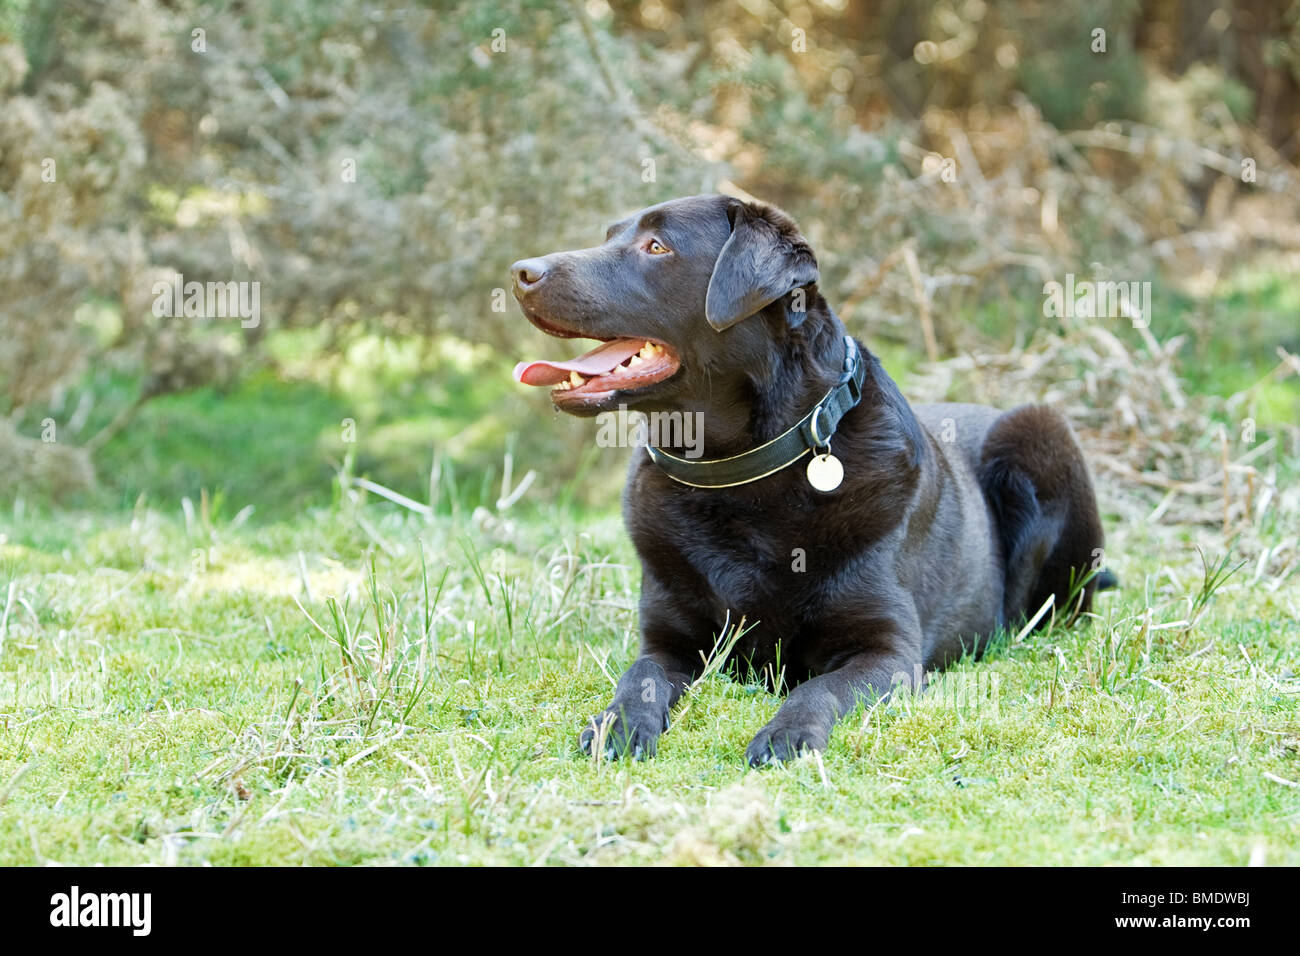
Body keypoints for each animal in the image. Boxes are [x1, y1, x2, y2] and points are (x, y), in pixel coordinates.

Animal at [512, 196, 1112, 770]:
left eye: (657, 246)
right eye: (610, 236)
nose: (520, 271)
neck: (736, 472)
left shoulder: (888, 651)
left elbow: (818, 689)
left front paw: (787, 735)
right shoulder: (668, 641)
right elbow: (638, 678)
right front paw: (614, 727)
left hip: (1040, 432)